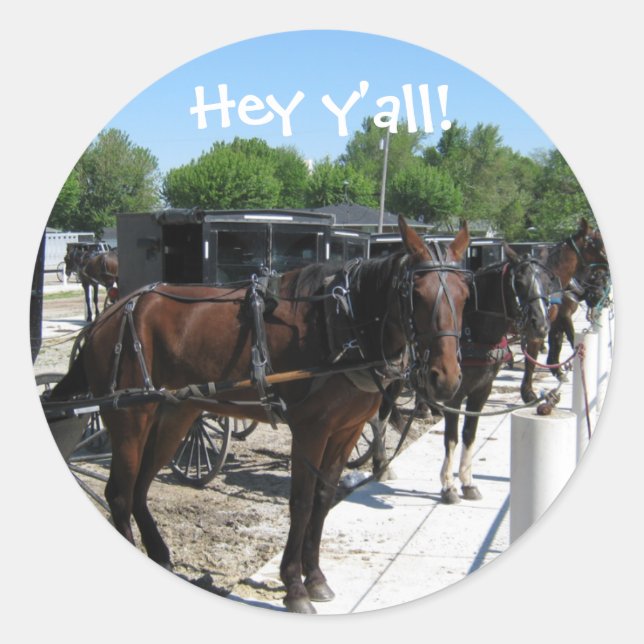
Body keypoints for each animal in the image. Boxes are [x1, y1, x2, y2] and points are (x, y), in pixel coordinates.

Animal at [50, 216, 471, 614]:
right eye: (417, 293)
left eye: (466, 294)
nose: (446, 378)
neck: (342, 324)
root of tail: (110, 314)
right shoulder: (310, 430)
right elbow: (301, 502)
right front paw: (295, 586)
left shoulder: (346, 431)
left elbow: (324, 498)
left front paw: (316, 577)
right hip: (130, 418)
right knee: (119, 495)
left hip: (175, 414)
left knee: (139, 489)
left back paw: (161, 556)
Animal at [439, 246, 554, 503]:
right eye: (519, 282)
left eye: (548, 282)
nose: (541, 325)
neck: (472, 330)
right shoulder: (454, 394)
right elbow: (451, 436)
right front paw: (448, 486)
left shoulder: (482, 390)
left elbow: (469, 433)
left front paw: (467, 482)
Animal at [520, 219, 609, 402]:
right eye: (598, 242)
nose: (600, 298)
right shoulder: (559, 318)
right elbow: (533, 358)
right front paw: (528, 393)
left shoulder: (555, 321)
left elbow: (557, 342)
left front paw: (557, 370)